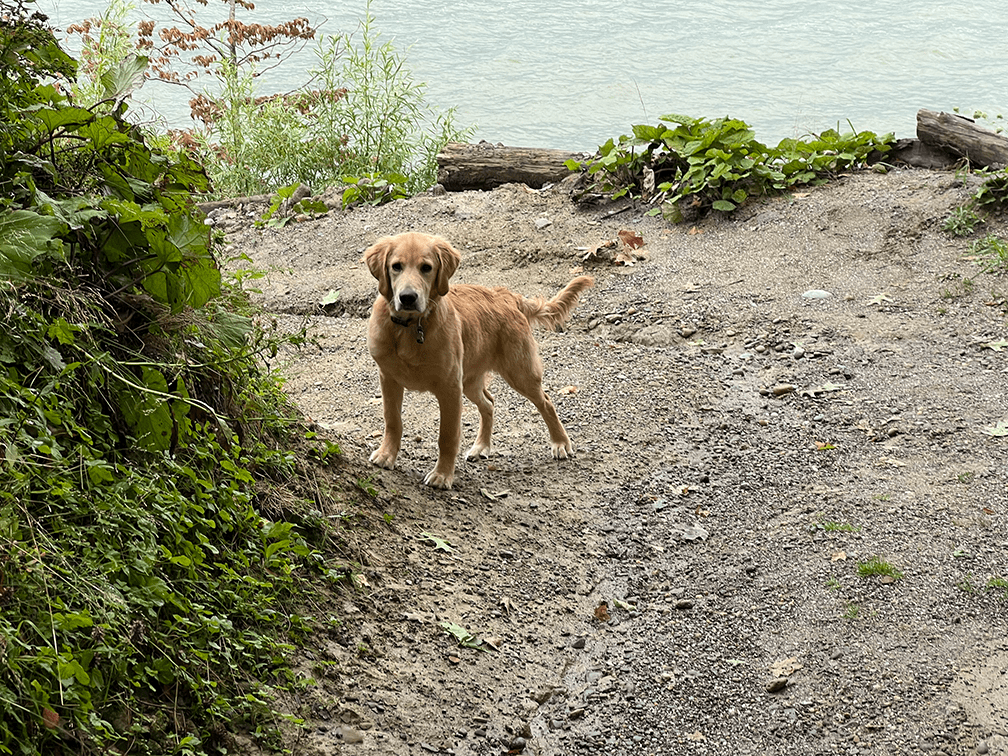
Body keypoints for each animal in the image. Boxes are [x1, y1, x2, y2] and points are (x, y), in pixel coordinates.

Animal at [366, 232, 592, 491]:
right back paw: (481, 447)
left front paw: (442, 475)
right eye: (396, 266)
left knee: (546, 402)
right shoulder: (389, 378)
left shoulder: (449, 388)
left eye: (426, 268)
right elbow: (392, 420)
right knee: (489, 403)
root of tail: (505, 295)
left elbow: (447, 436)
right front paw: (387, 455)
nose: (407, 298)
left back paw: (560, 442)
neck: (411, 327)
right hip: (471, 380)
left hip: (520, 372)